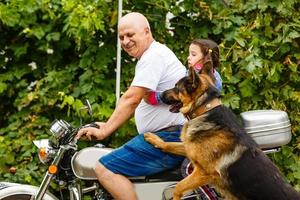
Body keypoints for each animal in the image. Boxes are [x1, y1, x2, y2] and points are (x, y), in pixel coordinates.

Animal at [144, 67, 300, 200]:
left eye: (177, 87)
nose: (158, 95)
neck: (204, 109)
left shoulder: (202, 172)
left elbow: (178, 187)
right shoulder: (190, 150)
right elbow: (169, 145)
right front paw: (154, 139)